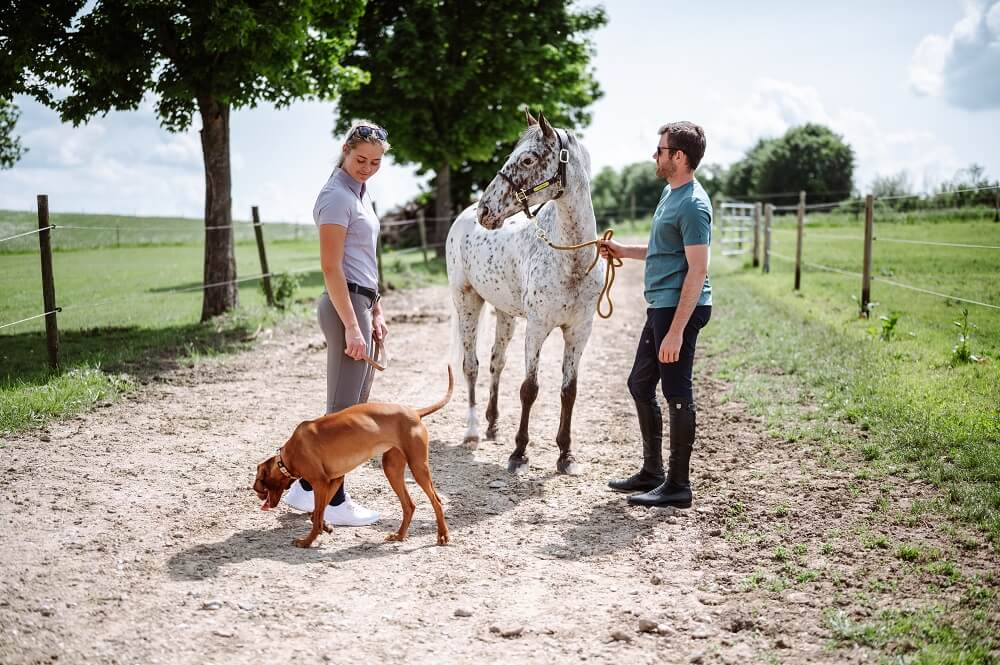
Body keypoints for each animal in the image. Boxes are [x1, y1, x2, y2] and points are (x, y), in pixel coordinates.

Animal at [254, 366, 454, 548]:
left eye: (260, 482)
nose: (258, 495)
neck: (288, 456)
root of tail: (415, 412)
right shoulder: (334, 480)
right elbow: (316, 513)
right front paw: (325, 526)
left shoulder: (320, 483)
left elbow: (316, 516)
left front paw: (307, 541)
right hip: (392, 469)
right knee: (409, 505)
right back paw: (399, 535)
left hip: (418, 466)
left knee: (436, 501)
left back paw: (443, 536)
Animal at [446, 111, 600, 474]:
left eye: (528, 159)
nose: (485, 211)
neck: (571, 260)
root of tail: (462, 217)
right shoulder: (538, 328)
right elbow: (530, 389)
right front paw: (519, 454)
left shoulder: (579, 332)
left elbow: (568, 391)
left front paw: (566, 455)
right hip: (467, 301)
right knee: (471, 366)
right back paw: (472, 432)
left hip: (505, 313)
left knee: (496, 362)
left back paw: (492, 426)